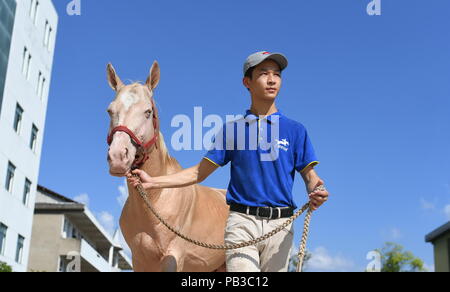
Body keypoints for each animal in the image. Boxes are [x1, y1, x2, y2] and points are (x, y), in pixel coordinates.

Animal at [106, 61, 229, 272]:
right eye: (110, 111)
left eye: (148, 112)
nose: (118, 157)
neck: (155, 199)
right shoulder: (139, 261)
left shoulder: (173, 257)